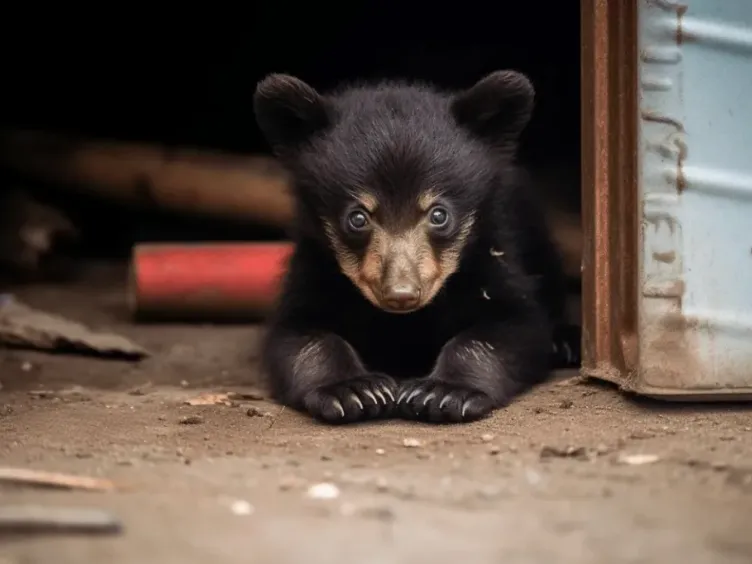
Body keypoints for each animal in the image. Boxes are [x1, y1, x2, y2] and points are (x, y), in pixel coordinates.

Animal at [253, 70, 580, 425]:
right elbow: (299, 336)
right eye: (358, 218)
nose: (401, 294)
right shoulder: (314, 267)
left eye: (438, 214)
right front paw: (354, 391)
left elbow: (512, 328)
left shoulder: (492, 256)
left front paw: (444, 392)